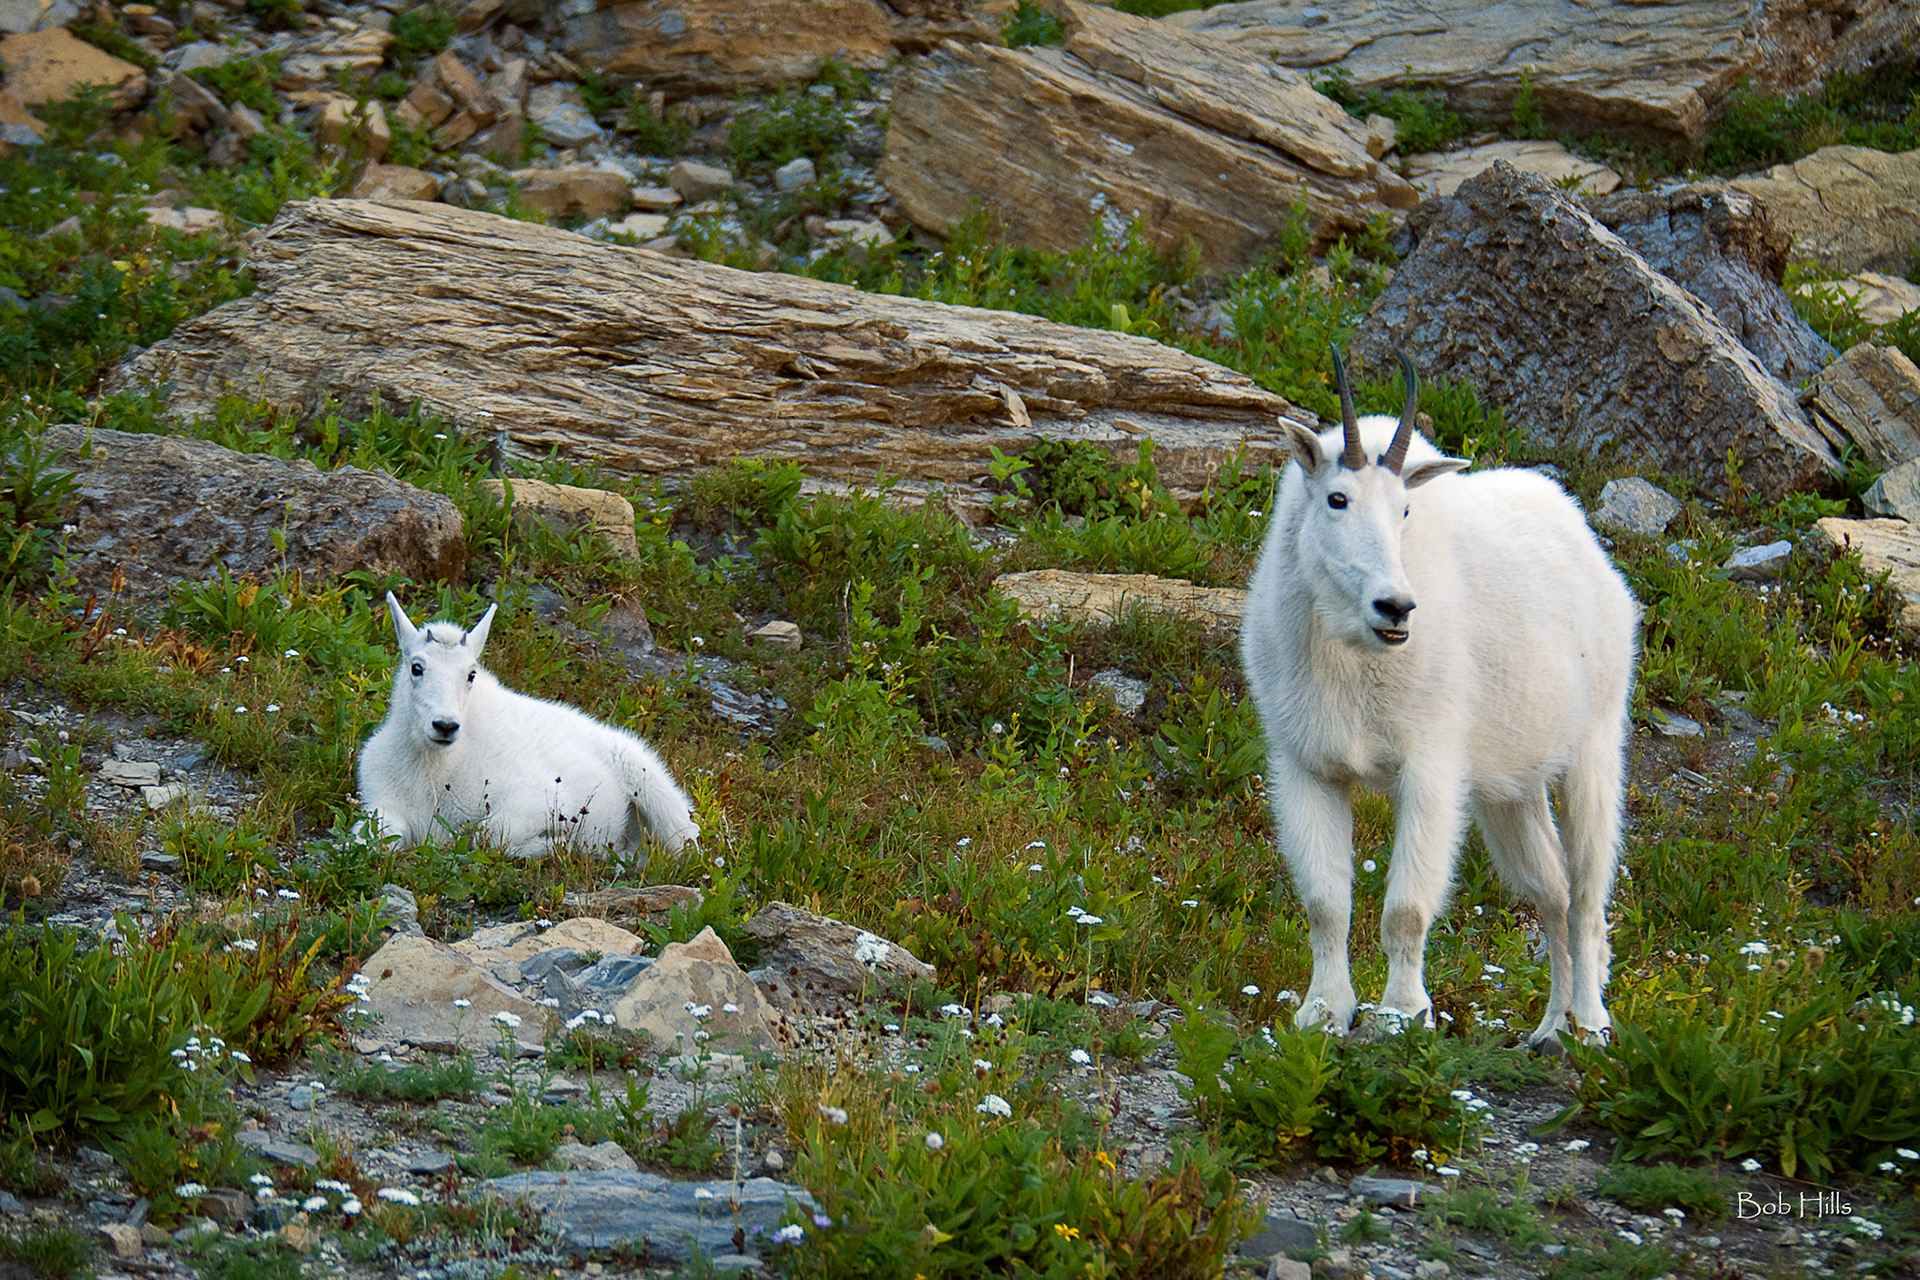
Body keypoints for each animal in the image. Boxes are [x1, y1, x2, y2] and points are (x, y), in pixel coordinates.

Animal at [359, 593, 699, 858]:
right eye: (417, 667)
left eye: (471, 674)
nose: (445, 726)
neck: (433, 767)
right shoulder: (380, 802)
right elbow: (373, 839)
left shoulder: (543, 798)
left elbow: (487, 835)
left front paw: (558, 843)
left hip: (650, 784)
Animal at [1238, 349, 1638, 1050]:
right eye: (1337, 499)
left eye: (1404, 510)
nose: (1396, 607)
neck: (1349, 651)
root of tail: (1591, 549)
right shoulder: (1308, 767)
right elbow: (1325, 903)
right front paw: (1323, 1012)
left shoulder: (1428, 767)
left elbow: (1405, 907)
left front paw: (1400, 1014)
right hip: (1510, 789)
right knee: (1553, 894)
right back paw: (1548, 1030)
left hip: (1595, 746)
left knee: (1588, 896)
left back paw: (1590, 1025)